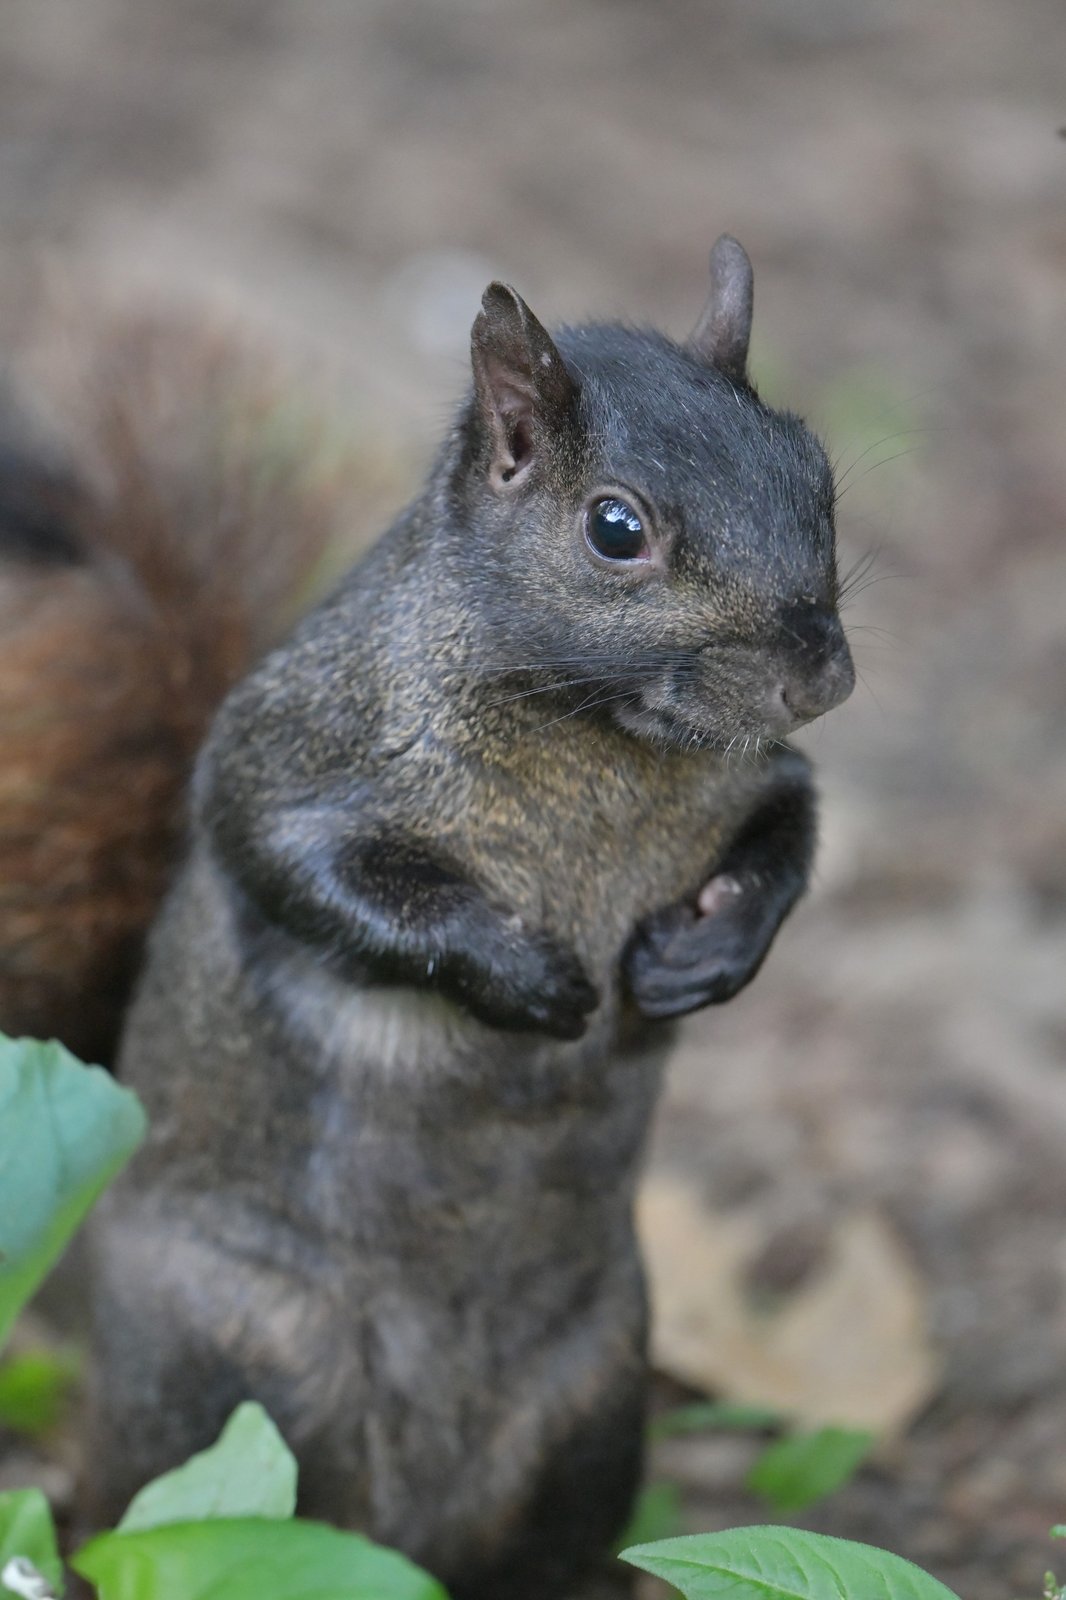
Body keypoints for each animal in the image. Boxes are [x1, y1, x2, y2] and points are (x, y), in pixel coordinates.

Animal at [86, 238, 854, 1600]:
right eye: (614, 527)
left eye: (816, 471)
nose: (822, 676)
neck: (604, 738)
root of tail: (411, 1543)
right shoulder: (294, 757)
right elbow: (295, 865)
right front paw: (527, 980)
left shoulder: (761, 778)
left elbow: (790, 831)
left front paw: (702, 957)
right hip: (233, 1380)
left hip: (594, 1402)